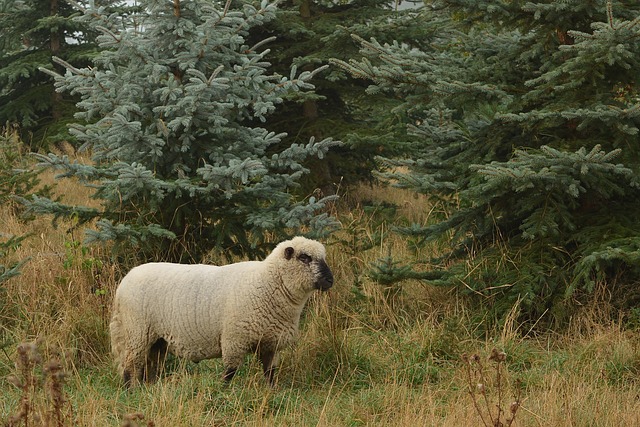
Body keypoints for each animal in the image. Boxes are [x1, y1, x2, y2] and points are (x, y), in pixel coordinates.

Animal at [109, 237, 336, 388]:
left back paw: (149, 389)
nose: (330, 280)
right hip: (136, 332)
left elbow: (270, 372)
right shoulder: (235, 339)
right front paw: (224, 391)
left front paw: (272, 391)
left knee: (149, 366)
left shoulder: (271, 342)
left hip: (156, 339)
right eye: (304, 257)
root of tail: (124, 282)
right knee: (130, 365)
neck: (267, 282)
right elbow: (230, 372)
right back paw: (131, 391)